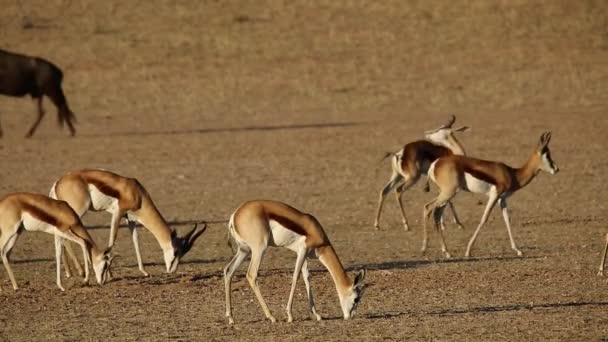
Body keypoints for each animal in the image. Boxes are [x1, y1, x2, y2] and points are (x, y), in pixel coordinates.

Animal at [50, 170, 207, 276]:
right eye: (175, 252)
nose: (171, 271)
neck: (138, 193)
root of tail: (57, 183)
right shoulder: (118, 212)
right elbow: (112, 240)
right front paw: (110, 274)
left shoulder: (130, 218)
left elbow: (135, 240)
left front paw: (144, 271)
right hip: (77, 211)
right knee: (65, 237)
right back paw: (80, 272)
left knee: (61, 237)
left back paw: (71, 272)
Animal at [223, 199, 366, 322]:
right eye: (356, 299)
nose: (350, 317)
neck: (314, 230)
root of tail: (235, 215)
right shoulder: (302, 250)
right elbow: (296, 277)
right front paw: (290, 315)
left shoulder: (303, 254)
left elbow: (307, 278)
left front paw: (317, 314)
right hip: (259, 249)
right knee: (251, 275)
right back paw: (271, 317)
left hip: (244, 250)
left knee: (228, 270)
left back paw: (231, 318)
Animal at [422, 132, 560, 258]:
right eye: (547, 154)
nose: (556, 169)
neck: (513, 174)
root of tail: (435, 164)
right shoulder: (494, 195)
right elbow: (484, 218)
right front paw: (468, 251)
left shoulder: (502, 199)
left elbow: (507, 219)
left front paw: (517, 250)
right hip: (448, 193)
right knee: (429, 209)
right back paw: (425, 249)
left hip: (446, 194)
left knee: (433, 211)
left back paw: (446, 252)